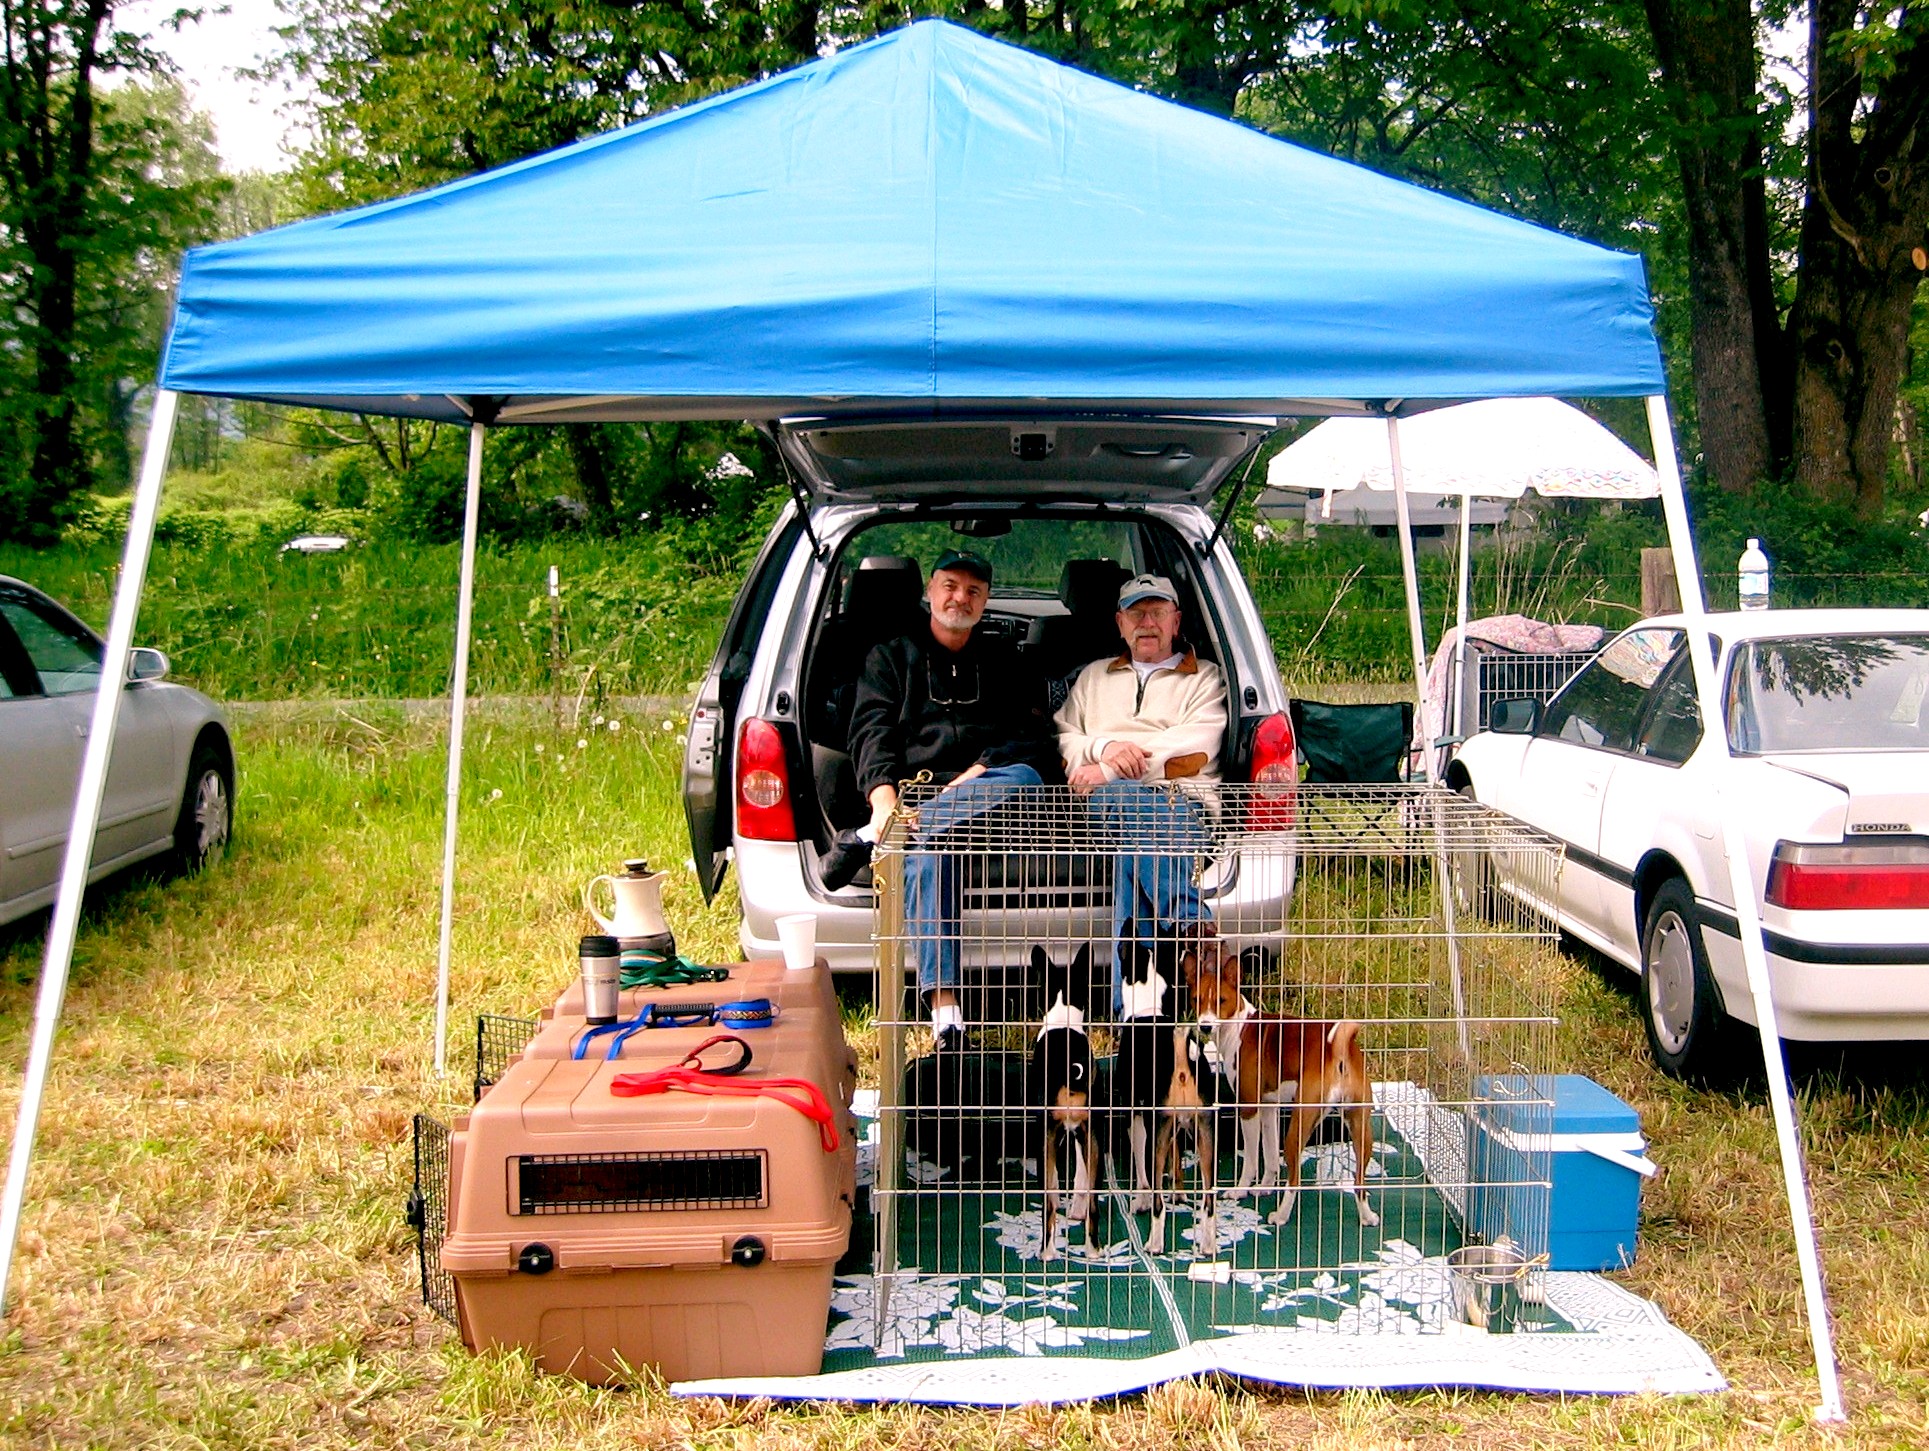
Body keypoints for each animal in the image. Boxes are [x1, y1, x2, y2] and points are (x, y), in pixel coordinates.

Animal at [1112, 933, 1219, 1257]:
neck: (1148, 1010)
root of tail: (1183, 1059)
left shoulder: (1137, 1112)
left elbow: (1142, 1168)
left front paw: (1141, 1200)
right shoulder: (1176, 1123)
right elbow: (1176, 1155)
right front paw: (1180, 1192)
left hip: (1158, 1127)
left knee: (1159, 1199)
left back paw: (1154, 1243)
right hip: (1205, 1134)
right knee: (1209, 1202)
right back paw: (1208, 1245)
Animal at [1182, 935, 1380, 1228]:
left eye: (1221, 1000)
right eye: (1197, 1000)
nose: (1205, 1026)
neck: (1239, 1027)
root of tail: (1339, 1049)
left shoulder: (1249, 1107)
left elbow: (1252, 1159)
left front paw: (1240, 1190)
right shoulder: (1268, 1107)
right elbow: (1271, 1155)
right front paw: (1264, 1187)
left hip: (1301, 1122)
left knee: (1295, 1180)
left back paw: (1281, 1216)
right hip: (1359, 1124)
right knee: (1359, 1182)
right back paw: (1367, 1217)